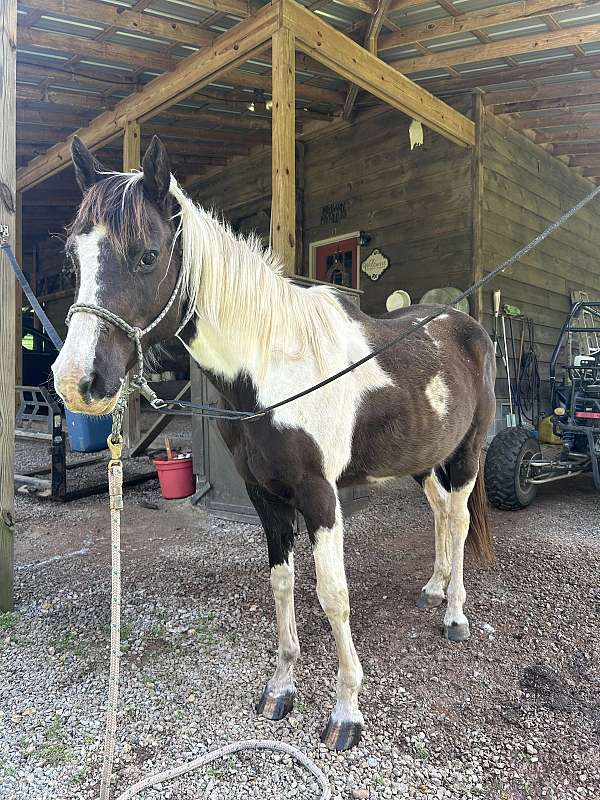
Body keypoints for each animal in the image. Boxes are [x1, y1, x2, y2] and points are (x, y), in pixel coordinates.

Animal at [52, 135, 496, 752]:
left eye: (147, 254)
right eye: (75, 257)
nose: (77, 381)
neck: (273, 369)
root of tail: (467, 325)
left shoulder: (320, 497)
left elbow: (333, 595)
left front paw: (346, 712)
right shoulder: (266, 496)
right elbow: (282, 584)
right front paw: (281, 687)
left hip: (467, 454)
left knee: (456, 520)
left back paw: (454, 615)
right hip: (424, 458)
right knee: (437, 513)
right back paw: (435, 587)